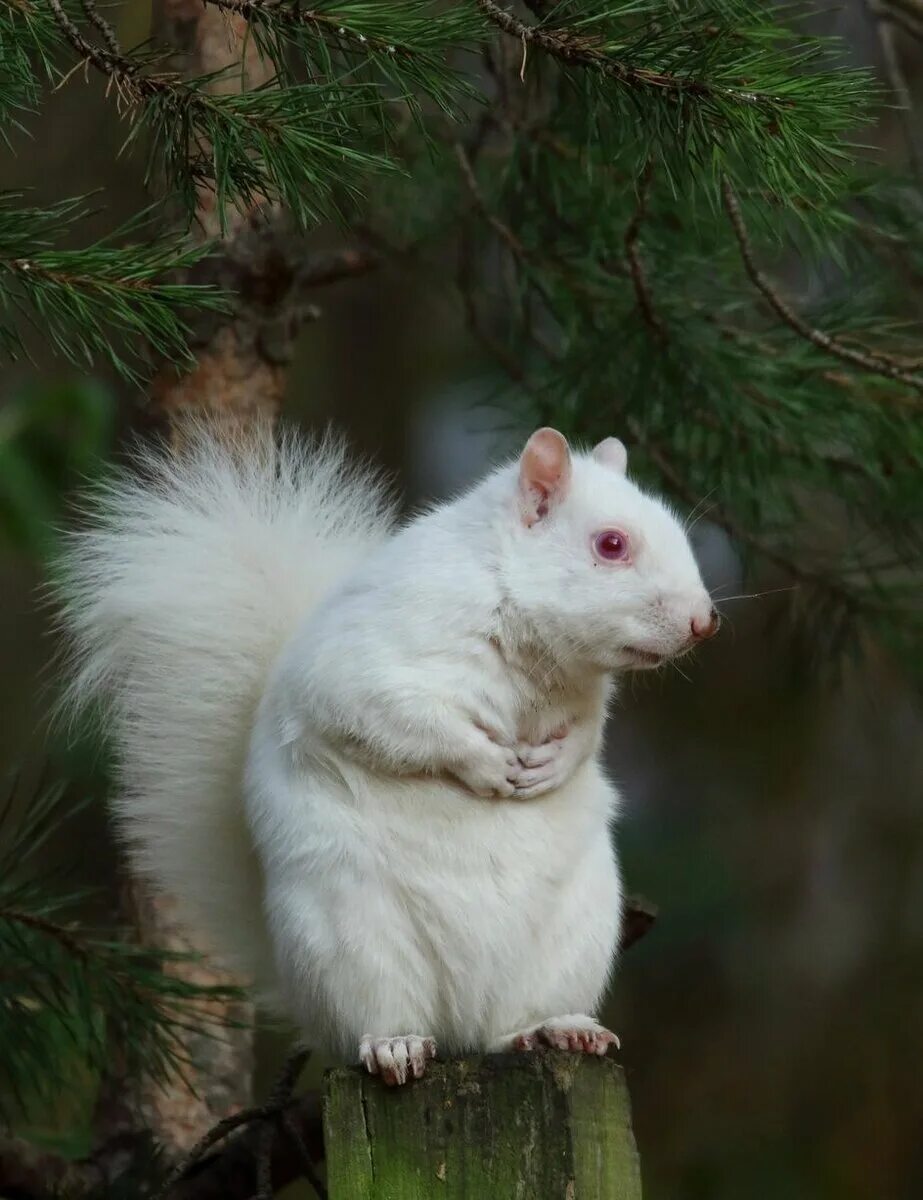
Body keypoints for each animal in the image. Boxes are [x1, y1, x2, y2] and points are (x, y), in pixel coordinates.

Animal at [55, 422, 720, 1089]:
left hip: (572, 938)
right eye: (611, 544)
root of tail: (459, 1026)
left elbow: (587, 735)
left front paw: (553, 766)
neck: (532, 649)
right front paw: (486, 765)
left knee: (507, 1025)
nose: (704, 622)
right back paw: (395, 1045)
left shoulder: (585, 698)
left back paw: (554, 1028)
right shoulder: (368, 664)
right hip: (352, 942)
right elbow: (401, 722)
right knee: (376, 1020)